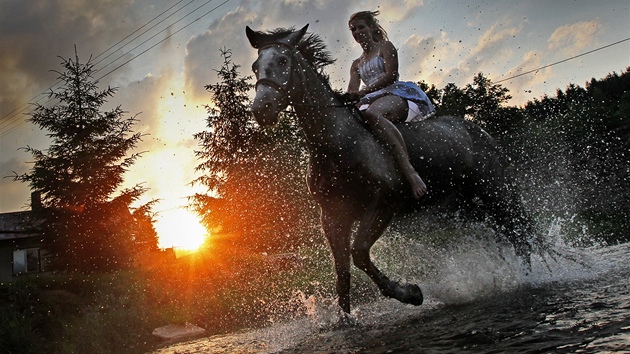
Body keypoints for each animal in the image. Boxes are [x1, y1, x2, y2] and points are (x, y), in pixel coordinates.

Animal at [247, 24, 540, 312]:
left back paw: (529, 278)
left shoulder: (383, 204)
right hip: (467, 204)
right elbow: (342, 273)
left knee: (521, 233)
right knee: (507, 233)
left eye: (283, 60)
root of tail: (480, 131)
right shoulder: (332, 216)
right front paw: (345, 320)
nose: (262, 109)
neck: (338, 143)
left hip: (497, 191)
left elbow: (359, 253)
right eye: (255, 66)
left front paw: (411, 294)